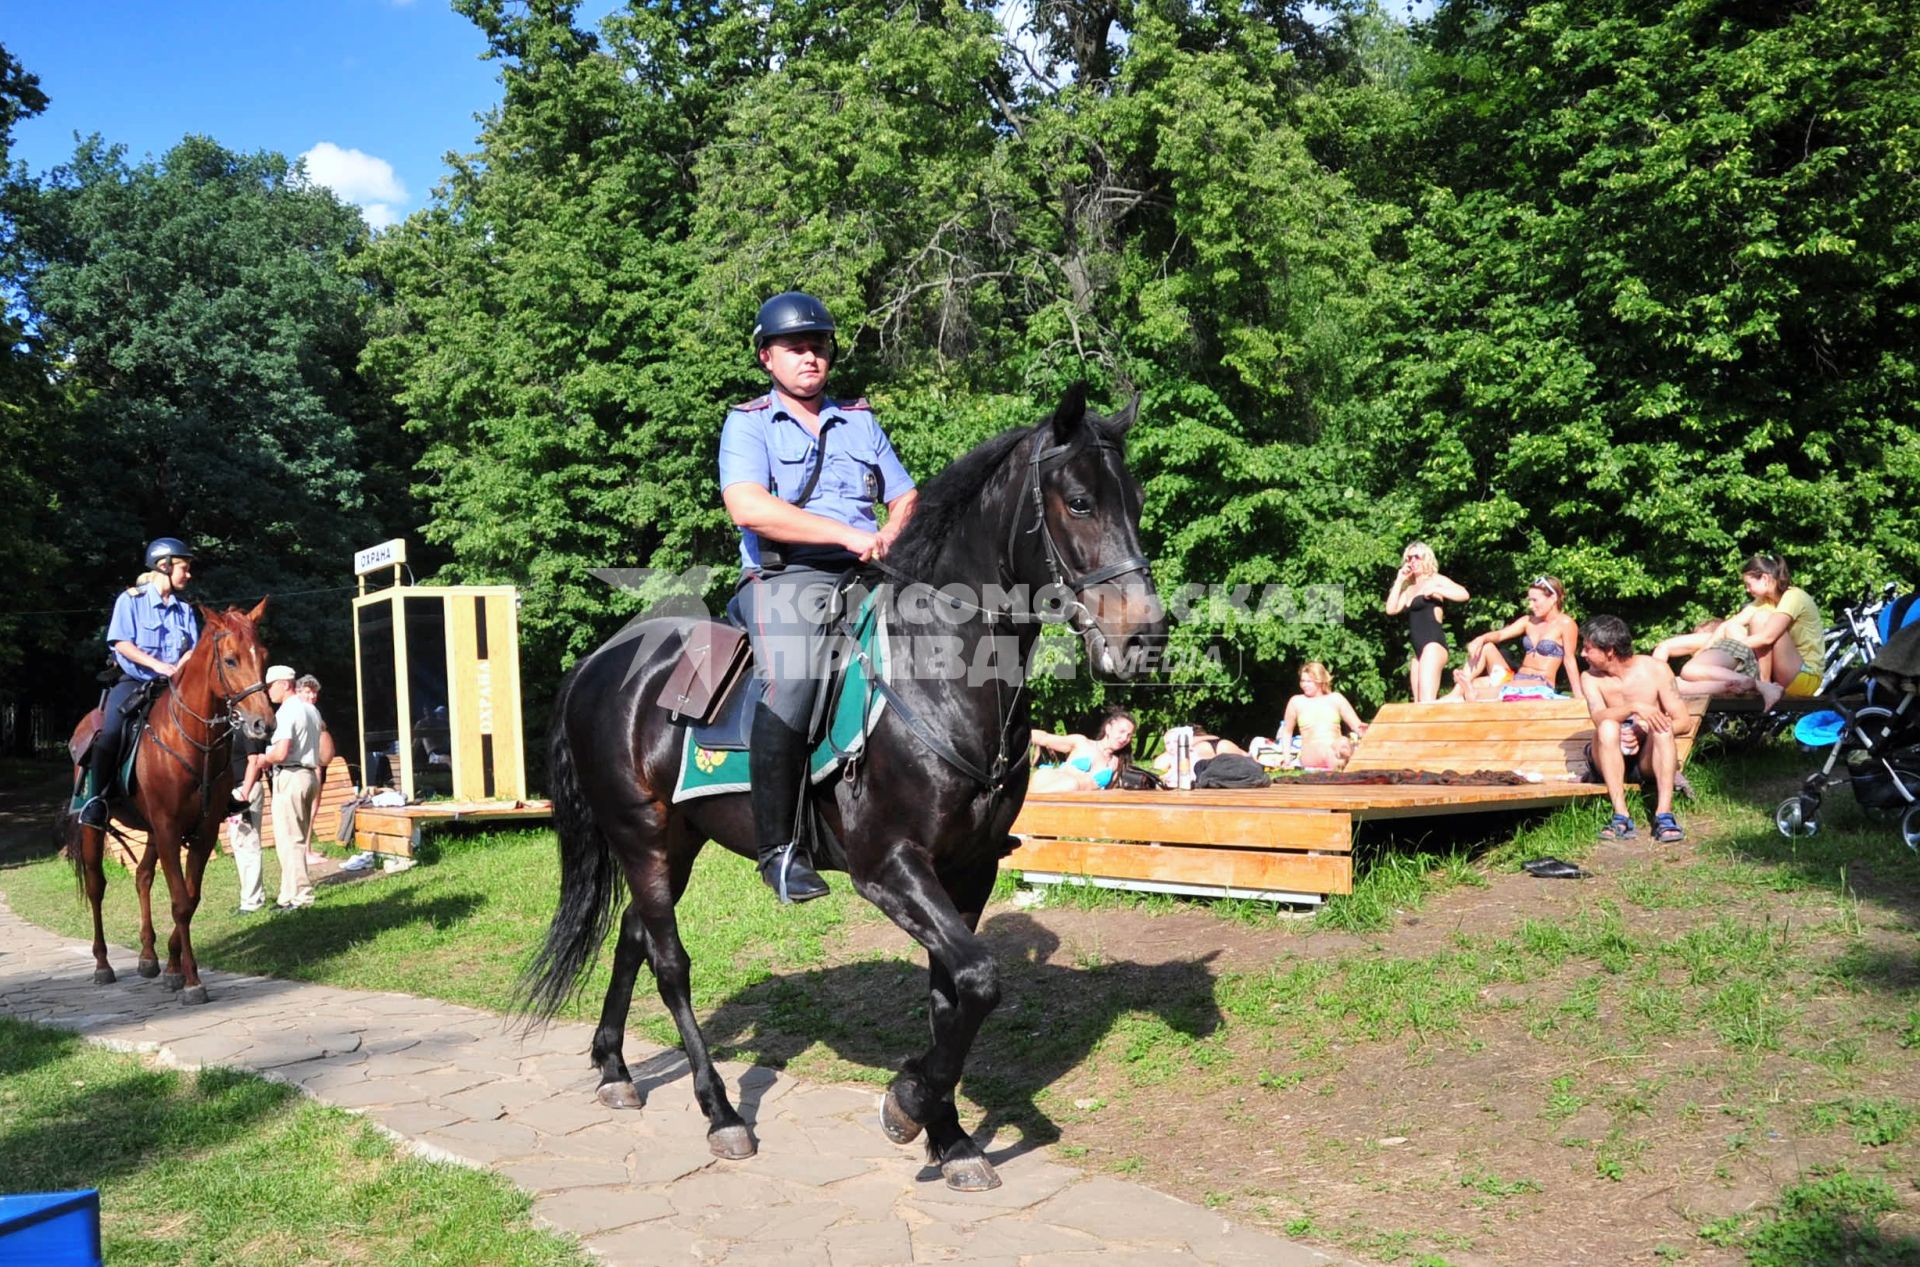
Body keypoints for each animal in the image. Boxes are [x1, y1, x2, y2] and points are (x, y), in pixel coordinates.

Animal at [59, 598, 276, 1005]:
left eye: (264, 656)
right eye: (230, 660)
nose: (263, 725)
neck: (193, 742)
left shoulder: (201, 833)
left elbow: (189, 898)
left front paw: (175, 969)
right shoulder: (169, 829)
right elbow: (179, 901)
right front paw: (192, 982)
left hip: (151, 832)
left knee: (142, 877)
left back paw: (148, 956)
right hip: (98, 829)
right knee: (97, 887)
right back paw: (102, 965)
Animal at [518, 382, 1159, 1190]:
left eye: (1134, 500)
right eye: (1078, 500)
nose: (1146, 637)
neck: (937, 674)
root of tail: (601, 662)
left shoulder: (968, 870)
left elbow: (951, 996)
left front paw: (947, 1135)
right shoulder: (889, 867)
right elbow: (980, 979)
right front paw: (909, 1104)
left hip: (677, 842)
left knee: (634, 933)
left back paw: (613, 1067)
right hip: (642, 835)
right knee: (669, 962)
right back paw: (720, 1112)